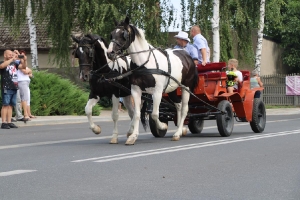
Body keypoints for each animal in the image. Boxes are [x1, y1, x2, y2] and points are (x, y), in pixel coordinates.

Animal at [106, 17, 198, 145]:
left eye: (123, 34)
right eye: (112, 34)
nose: (110, 53)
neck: (144, 63)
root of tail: (187, 55)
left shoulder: (157, 91)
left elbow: (154, 114)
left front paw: (163, 126)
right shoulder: (136, 90)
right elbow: (137, 114)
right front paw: (133, 136)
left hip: (186, 87)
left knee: (184, 109)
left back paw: (178, 133)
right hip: (172, 89)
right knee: (178, 106)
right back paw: (181, 129)